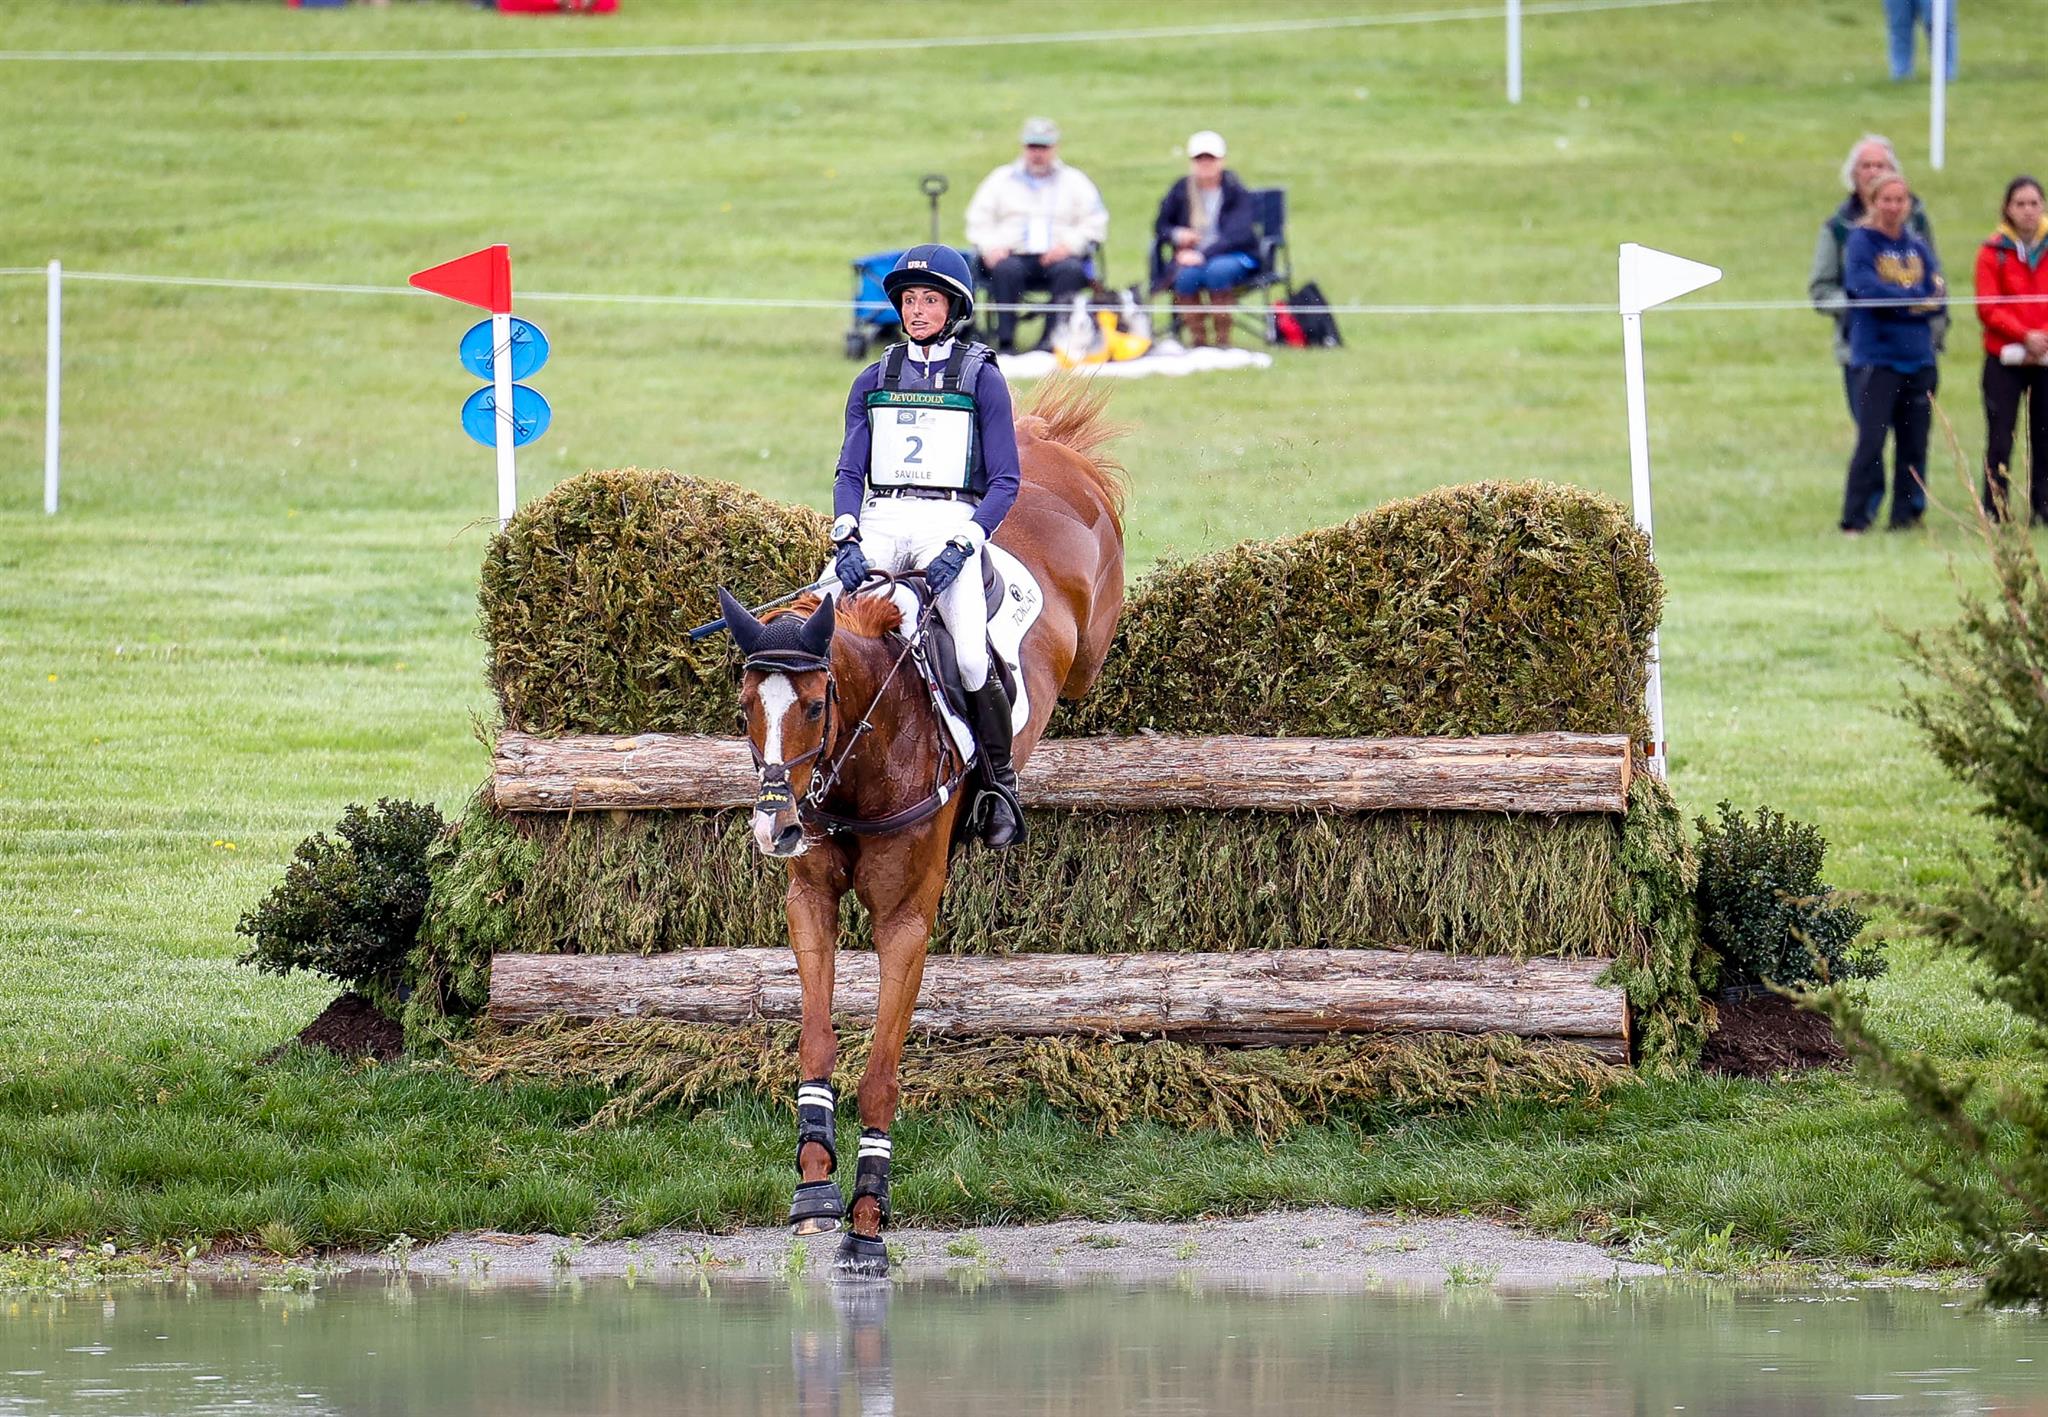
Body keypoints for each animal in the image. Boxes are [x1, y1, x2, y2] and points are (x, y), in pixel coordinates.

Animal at [720, 376, 1130, 1269]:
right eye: (744, 709)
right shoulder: (811, 900)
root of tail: (1048, 445)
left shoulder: (907, 919)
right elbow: (816, 1041)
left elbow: (881, 1067)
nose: (774, 831)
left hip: (1087, 643)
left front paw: (869, 1215)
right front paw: (814, 1187)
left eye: (814, 706)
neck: (856, 766)